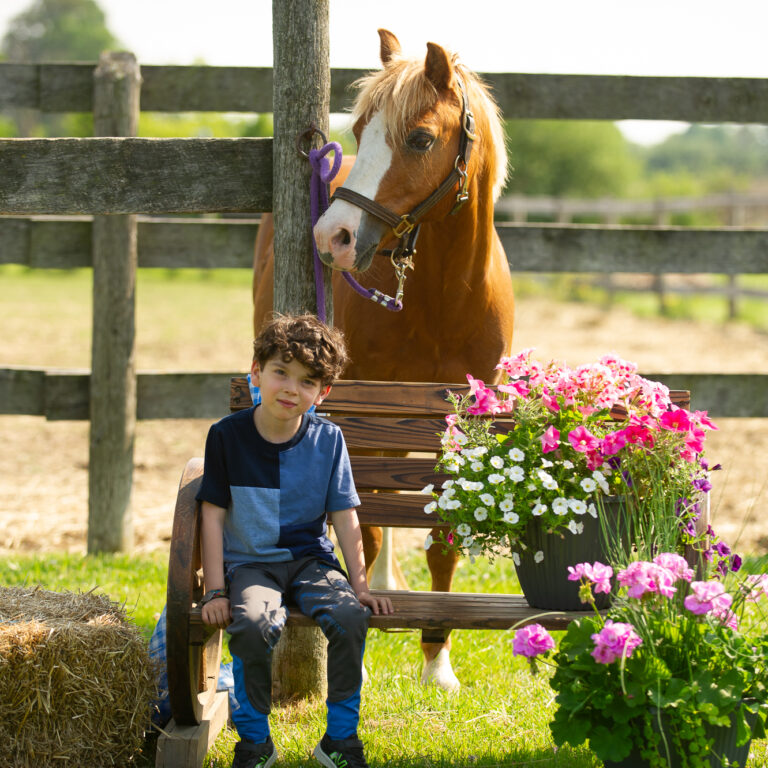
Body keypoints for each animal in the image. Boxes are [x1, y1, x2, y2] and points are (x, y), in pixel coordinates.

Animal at [254, 28, 516, 688]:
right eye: (359, 127)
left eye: (420, 138)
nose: (334, 236)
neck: (442, 297)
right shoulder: (360, 414)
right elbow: (365, 526)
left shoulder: (460, 424)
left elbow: (441, 536)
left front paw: (437, 662)